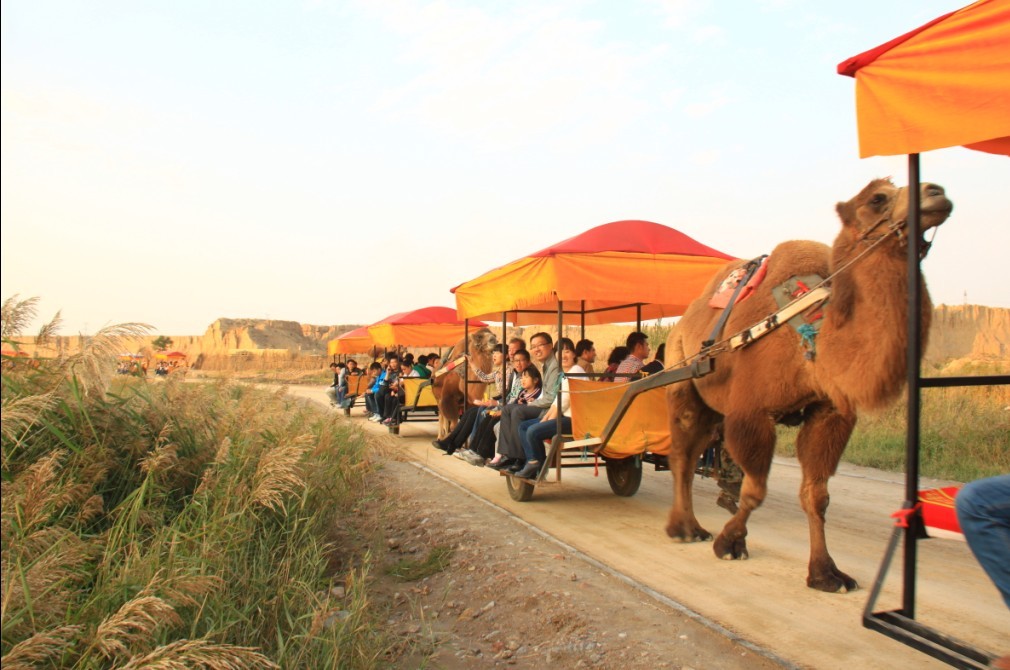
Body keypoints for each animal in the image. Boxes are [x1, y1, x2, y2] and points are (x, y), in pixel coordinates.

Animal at [666, 177, 949, 594]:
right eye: (877, 198)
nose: (937, 193)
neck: (810, 330)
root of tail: (683, 322)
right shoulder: (751, 410)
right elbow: (756, 489)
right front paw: (729, 542)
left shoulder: (830, 411)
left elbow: (816, 495)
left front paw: (826, 573)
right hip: (681, 373)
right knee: (682, 454)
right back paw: (683, 529)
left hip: (711, 406)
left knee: (693, 452)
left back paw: (692, 526)